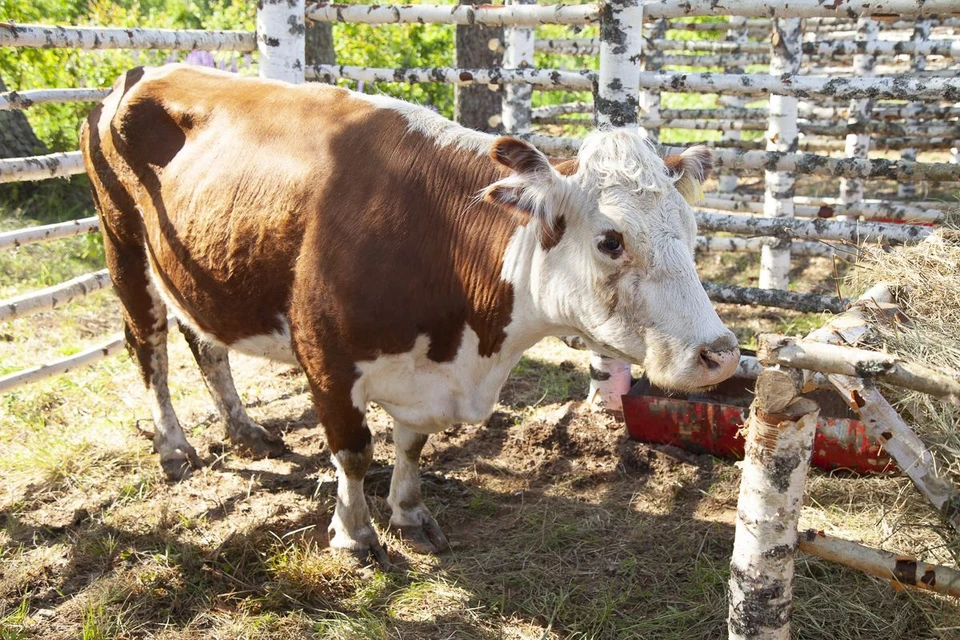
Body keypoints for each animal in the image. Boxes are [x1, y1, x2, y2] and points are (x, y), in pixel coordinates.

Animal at [84, 65, 744, 564]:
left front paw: (408, 512)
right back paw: (174, 447)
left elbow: (412, 443)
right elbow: (354, 451)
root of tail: (139, 73)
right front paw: (354, 534)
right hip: (123, 246)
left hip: (197, 269)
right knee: (148, 345)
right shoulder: (326, 358)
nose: (720, 353)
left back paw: (245, 430)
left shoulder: (426, 378)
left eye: (691, 231)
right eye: (611, 240)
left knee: (206, 343)